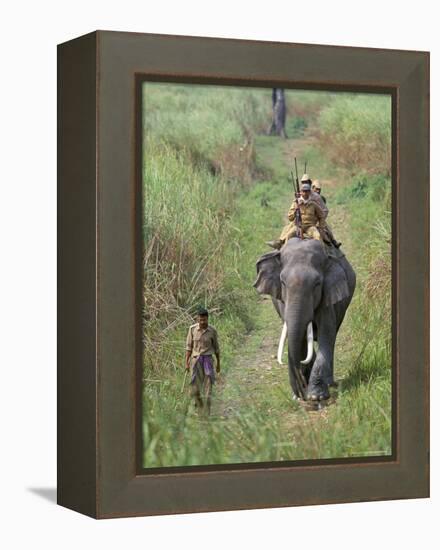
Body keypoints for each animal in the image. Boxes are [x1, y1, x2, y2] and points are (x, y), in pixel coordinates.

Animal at [253, 239, 356, 404]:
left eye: (317, 284)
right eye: (282, 282)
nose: (300, 393)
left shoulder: (327, 298)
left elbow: (326, 335)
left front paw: (316, 396)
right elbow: (300, 340)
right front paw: (301, 393)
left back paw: (329, 383)